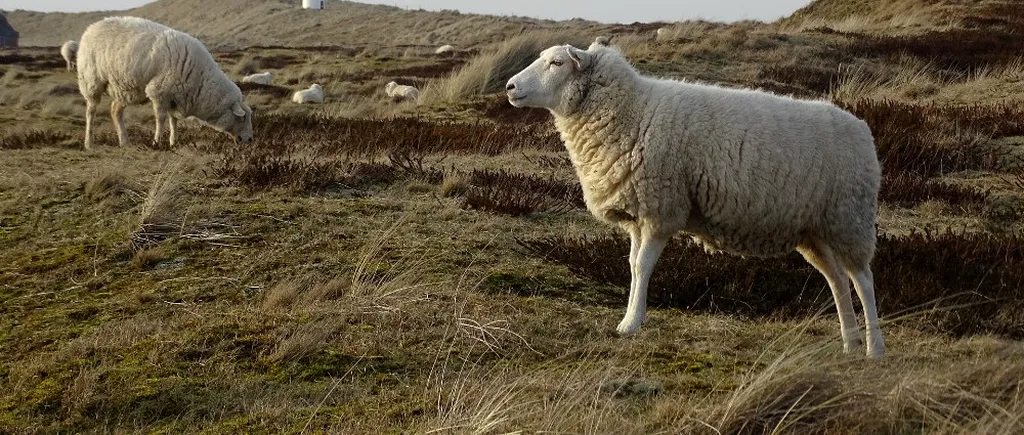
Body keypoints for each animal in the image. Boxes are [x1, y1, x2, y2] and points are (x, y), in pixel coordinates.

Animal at [75, 16, 251, 149]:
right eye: (242, 118)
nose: (250, 140)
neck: (201, 81)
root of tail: (91, 27)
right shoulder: (159, 92)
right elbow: (161, 119)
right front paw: (157, 142)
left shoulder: (175, 96)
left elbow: (174, 120)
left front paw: (173, 142)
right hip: (91, 80)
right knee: (90, 111)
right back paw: (89, 143)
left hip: (124, 88)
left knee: (115, 110)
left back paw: (125, 142)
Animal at [507, 36, 884, 356]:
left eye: (557, 62)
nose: (509, 86)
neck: (633, 112)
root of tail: (862, 128)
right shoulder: (639, 213)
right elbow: (631, 265)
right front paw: (629, 316)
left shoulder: (662, 209)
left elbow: (642, 266)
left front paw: (632, 324)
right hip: (815, 229)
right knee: (837, 279)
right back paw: (850, 343)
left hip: (849, 218)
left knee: (863, 280)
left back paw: (873, 347)